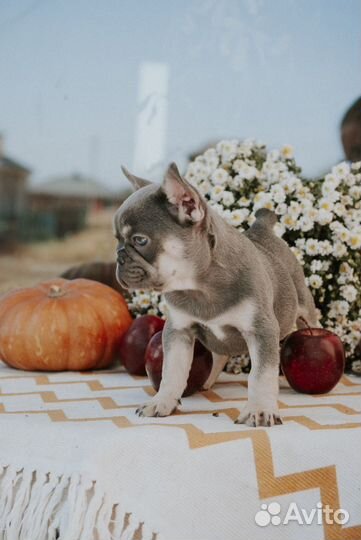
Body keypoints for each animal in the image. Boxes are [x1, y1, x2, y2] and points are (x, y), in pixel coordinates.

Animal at [113, 162, 318, 428]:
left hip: (305, 310)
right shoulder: (178, 331)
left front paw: (260, 409)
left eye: (140, 240)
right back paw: (208, 380)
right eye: (117, 239)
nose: (119, 256)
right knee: (219, 354)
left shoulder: (261, 331)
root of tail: (261, 229)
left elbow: (260, 375)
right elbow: (172, 371)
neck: (200, 286)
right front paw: (162, 401)